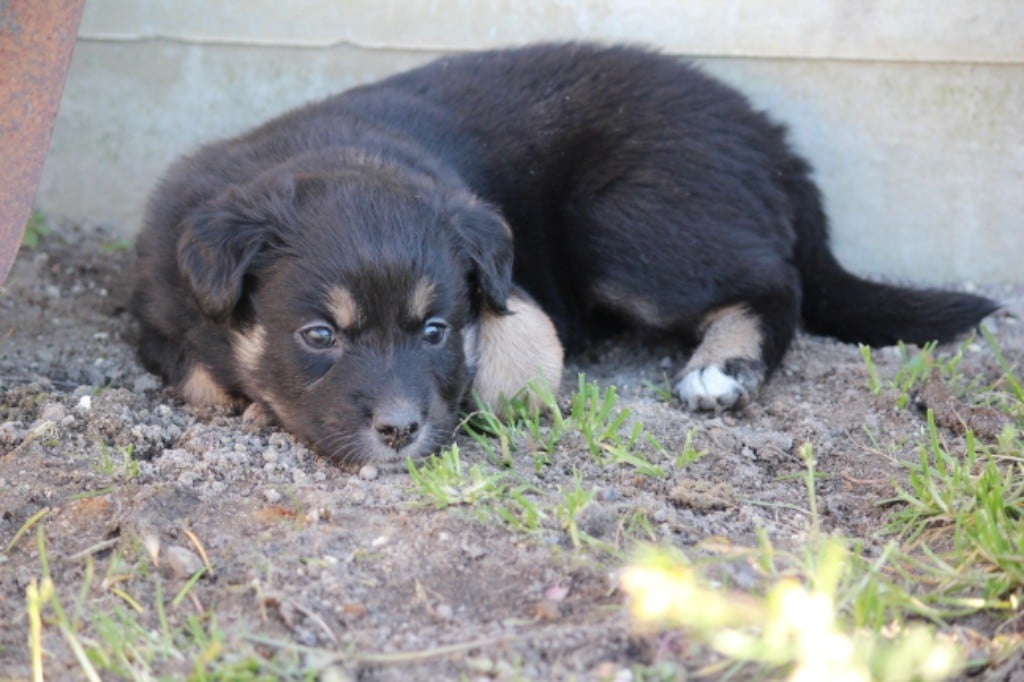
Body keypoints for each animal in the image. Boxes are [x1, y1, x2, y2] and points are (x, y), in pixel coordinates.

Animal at [132, 43, 995, 466]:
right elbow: (197, 372)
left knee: (776, 283)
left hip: (625, 220)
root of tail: (766, 137)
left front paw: (504, 395)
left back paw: (723, 367)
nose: (401, 432)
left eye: (435, 330)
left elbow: (524, 338)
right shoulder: (157, 306)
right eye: (318, 336)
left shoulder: (506, 270)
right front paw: (242, 391)